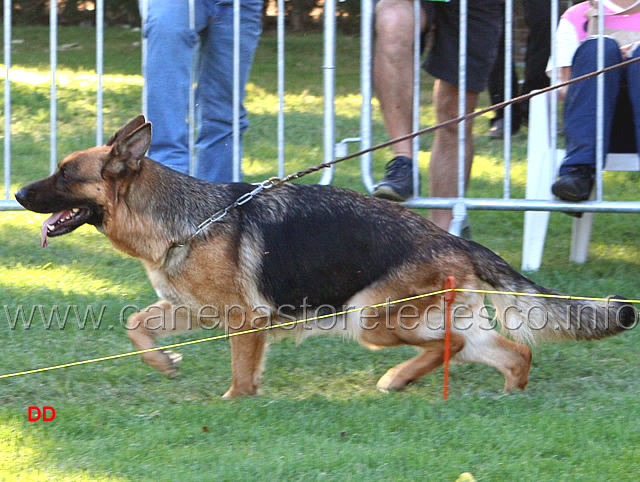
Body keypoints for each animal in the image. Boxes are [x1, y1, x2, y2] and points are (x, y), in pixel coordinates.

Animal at [15, 116, 636, 400]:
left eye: (66, 175)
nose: (17, 194)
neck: (186, 219)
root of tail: (455, 239)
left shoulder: (244, 321)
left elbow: (241, 374)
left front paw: (233, 405)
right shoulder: (188, 311)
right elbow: (135, 323)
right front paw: (164, 364)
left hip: (369, 319)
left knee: (452, 346)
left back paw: (401, 378)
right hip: (426, 319)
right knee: (509, 352)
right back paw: (499, 395)